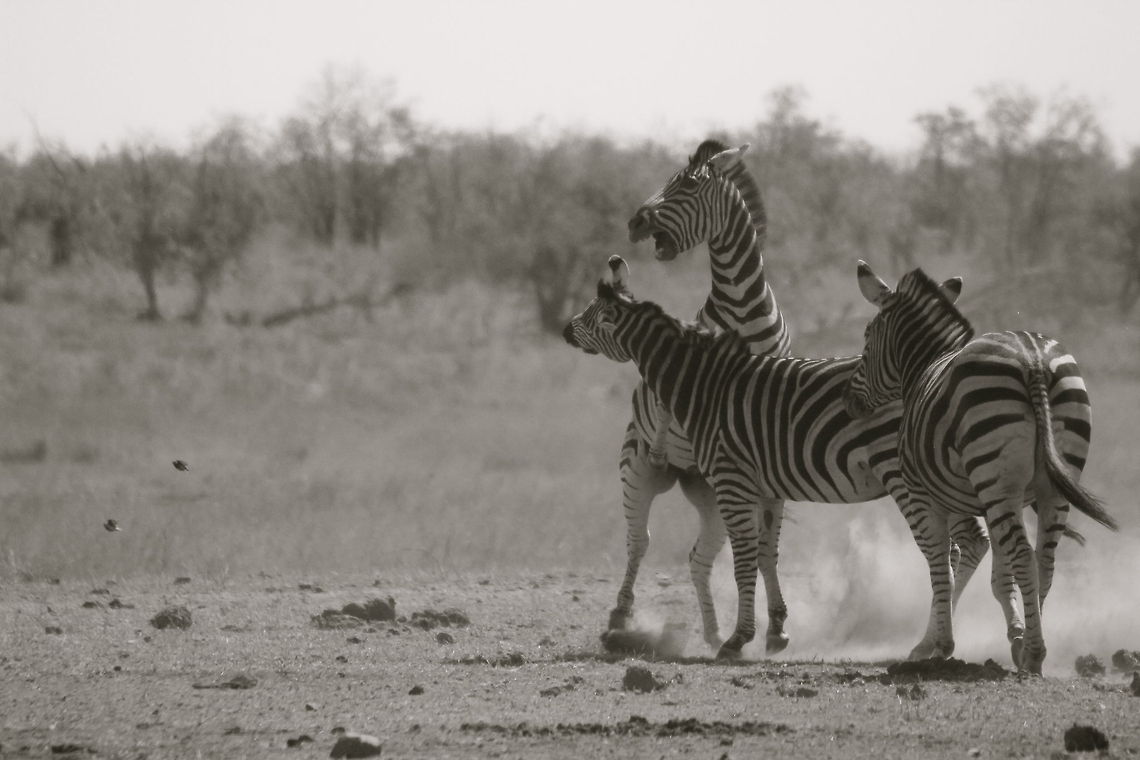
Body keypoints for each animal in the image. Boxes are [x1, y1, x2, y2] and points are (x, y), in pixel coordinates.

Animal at [564, 255, 968, 660]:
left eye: (591, 313)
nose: (565, 330)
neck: (704, 385)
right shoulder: (762, 485)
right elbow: (763, 554)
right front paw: (771, 630)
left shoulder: (731, 478)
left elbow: (743, 560)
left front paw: (739, 638)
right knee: (955, 549)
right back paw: (936, 639)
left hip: (905, 475)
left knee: (942, 552)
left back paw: (932, 643)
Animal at [608, 140, 789, 652]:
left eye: (688, 185)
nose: (635, 222)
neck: (746, 312)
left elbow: (765, 549)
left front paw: (775, 626)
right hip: (637, 471)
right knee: (639, 540)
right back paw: (621, 616)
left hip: (713, 495)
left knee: (704, 555)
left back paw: (716, 630)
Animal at [843, 261, 1118, 674]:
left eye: (867, 336)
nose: (849, 402)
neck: (925, 367)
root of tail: (1033, 359)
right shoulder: (994, 501)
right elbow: (999, 577)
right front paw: (1015, 635)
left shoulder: (927, 495)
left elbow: (941, 565)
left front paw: (937, 645)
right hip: (1047, 484)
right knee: (1044, 561)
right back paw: (1033, 642)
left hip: (995, 479)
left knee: (1025, 556)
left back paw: (1034, 653)